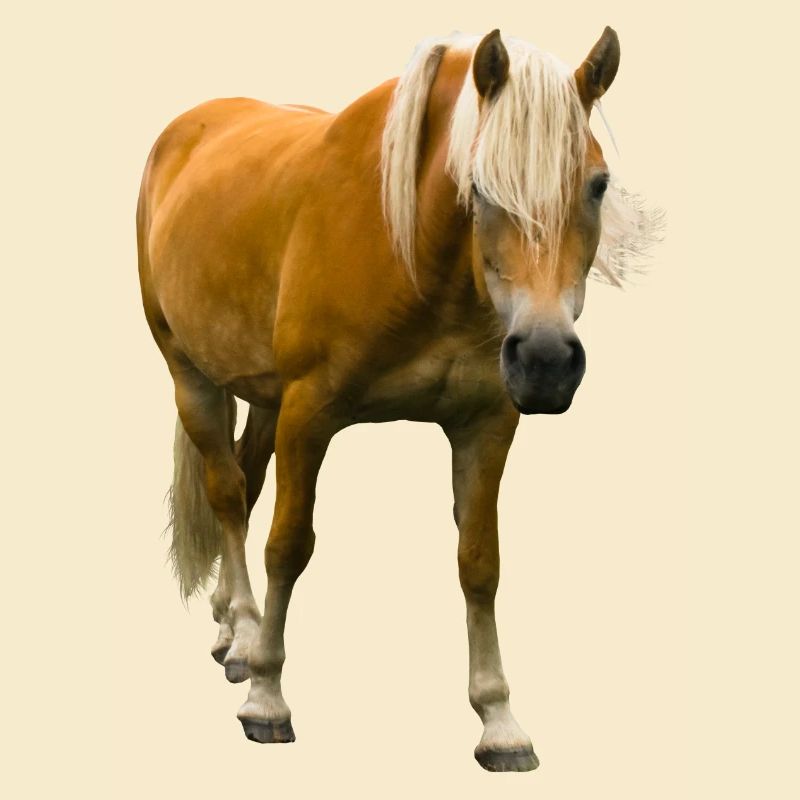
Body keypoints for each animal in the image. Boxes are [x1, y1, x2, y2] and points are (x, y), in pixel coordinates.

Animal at [137, 27, 659, 772]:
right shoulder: (309, 415)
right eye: (479, 185)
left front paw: (499, 721)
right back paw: (242, 635)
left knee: (244, 478)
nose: (546, 360)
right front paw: (267, 696)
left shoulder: (485, 423)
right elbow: (287, 546)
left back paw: (229, 625)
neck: (412, 254)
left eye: (597, 183)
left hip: (261, 396)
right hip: (193, 377)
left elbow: (480, 563)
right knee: (228, 495)